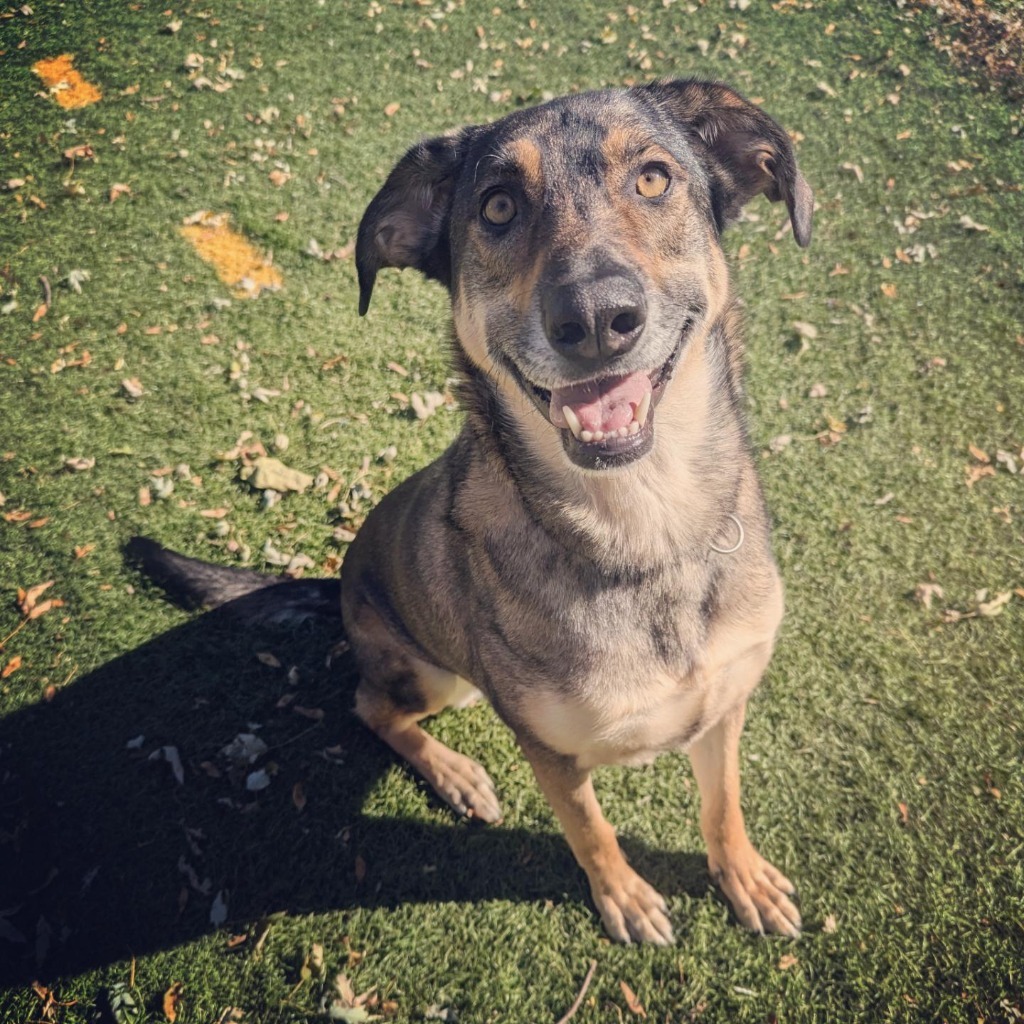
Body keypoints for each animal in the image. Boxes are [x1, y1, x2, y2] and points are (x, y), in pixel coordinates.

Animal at [130, 77, 815, 942]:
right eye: (496, 207)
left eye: (655, 178)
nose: (595, 318)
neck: (645, 527)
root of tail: (339, 583)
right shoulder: (550, 752)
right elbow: (591, 832)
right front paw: (623, 896)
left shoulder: (723, 708)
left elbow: (722, 804)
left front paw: (742, 877)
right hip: (431, 671)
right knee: (370, 707)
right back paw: (454, 773)